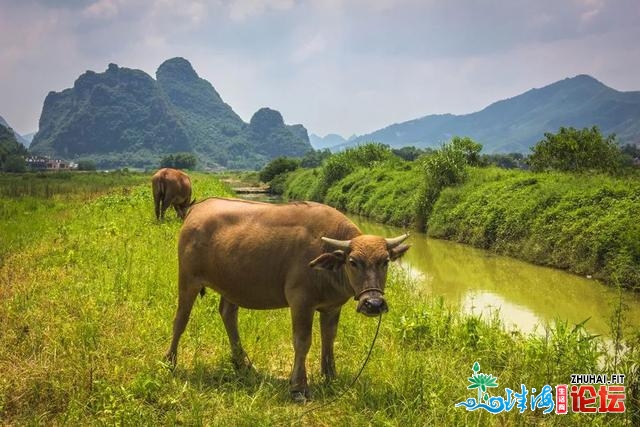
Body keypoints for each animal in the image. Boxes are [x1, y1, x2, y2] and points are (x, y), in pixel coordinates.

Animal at [165, 199, 410, 402]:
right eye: (353, 261)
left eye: (385, 261)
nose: (374, 304)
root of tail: (197, 209)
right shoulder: (301, 302)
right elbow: (302, 342)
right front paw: (298, 387)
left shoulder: (331, 307)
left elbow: (329, 338)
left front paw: (331, 376)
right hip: (187, 280)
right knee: (181, 319)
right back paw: (170, 361)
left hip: (232, 285)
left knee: (228, 314)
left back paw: (242, 363)